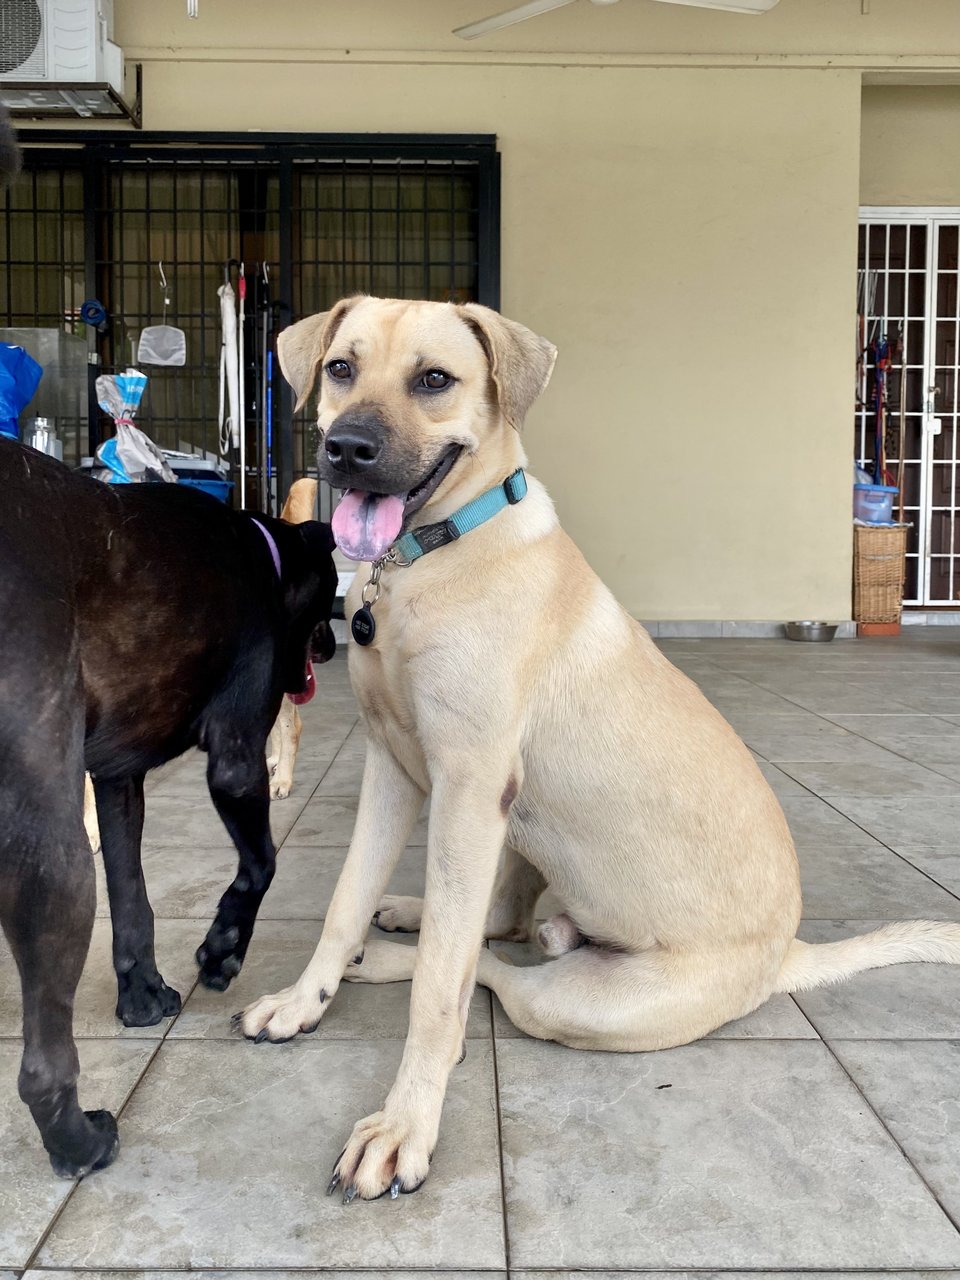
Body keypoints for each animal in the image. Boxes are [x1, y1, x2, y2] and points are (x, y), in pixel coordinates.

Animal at [0, 440, 337, 1177]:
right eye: (330, 593)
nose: (335, 644)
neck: (264, 552)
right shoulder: (236, 760)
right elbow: (261, 864)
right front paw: (221, 950)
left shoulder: (117, 780)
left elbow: (134, 903)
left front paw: (142, 997)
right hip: (53, 856)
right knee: (42, 1064)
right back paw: (80, 1143)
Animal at [240, 294, 960, 1203]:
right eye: (341, 368)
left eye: (434, 380)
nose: (348, 450)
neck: (436, 556)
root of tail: (786, 957)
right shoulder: (394, 771)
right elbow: (341, 905)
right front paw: (305, 1000)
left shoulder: (466, 789)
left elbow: (442, 985)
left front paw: (404, 1127)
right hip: (518, 835)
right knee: (502, 924)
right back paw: (403, 917)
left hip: (572, 993)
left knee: (492, 969)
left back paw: (399, 957)